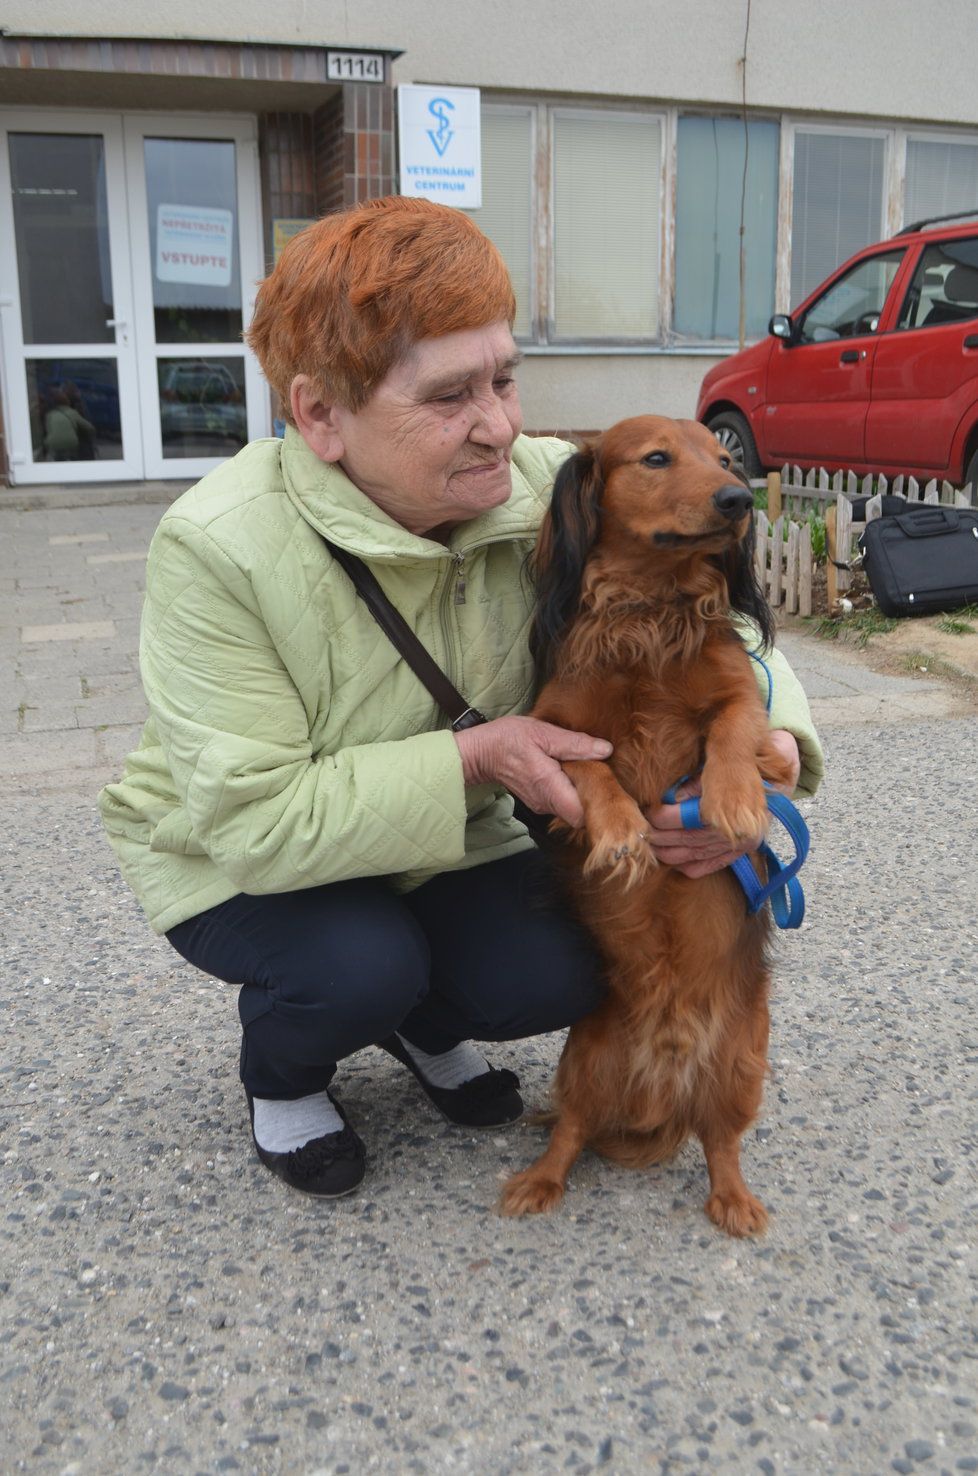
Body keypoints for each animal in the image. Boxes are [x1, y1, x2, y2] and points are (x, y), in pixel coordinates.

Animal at [501, 416, 802, 1233]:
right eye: (657, 458)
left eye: (726, 458)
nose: (738, 500)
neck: (648, 611)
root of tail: (662, 1080)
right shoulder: (553, 732)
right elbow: (594, 774)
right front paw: (622, 834)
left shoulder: (743, 697)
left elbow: (735, 730)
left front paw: (733, 804)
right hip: (584, 1060)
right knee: (572, 1132)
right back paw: (538, 1181)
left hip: (742, 1067)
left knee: (721, 1144)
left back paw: (734, 1201)